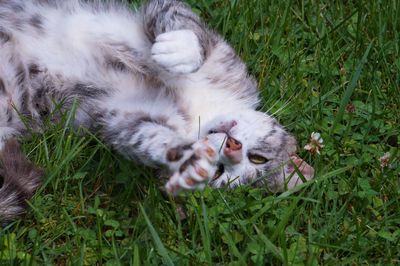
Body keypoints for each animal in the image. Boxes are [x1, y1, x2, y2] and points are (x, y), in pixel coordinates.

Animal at [0, 0, 312, 224]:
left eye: (219, 175)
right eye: (259, 158)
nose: (233, 148)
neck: (198, 110)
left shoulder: (123, 116)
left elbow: (145, 136)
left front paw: (188, 162)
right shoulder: (219, 53)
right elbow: (181, 21)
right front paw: (182, 49)